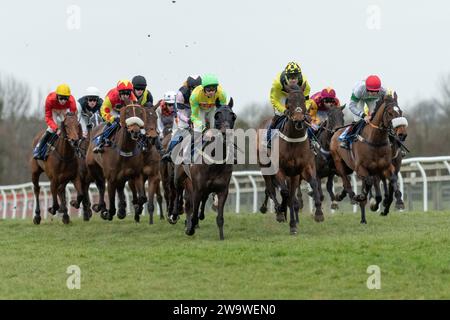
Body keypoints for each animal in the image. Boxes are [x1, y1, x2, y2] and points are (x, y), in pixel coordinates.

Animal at [326, 92, 404, 222]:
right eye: (390, 113)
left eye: (401, 111)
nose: (402, 133)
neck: (375, 140)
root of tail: (336, 131)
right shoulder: (361, 168)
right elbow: (368, 182)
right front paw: (368, 200)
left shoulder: (386, 167)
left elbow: (392, 180)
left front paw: (394, 203)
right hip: (339, 163)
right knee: (347, 182)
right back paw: (354, 198)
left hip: (349, 167)